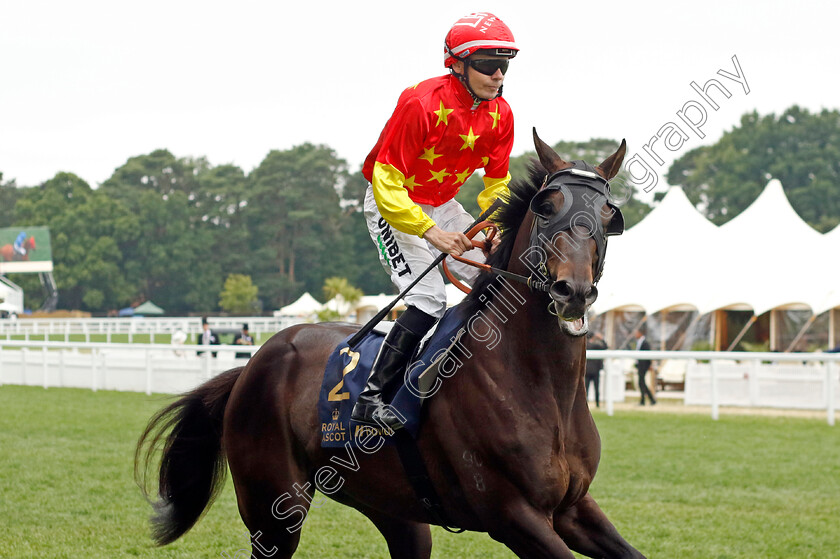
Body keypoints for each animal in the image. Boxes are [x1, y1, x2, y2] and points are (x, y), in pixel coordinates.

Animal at [138, 132, 648, 559]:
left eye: (608, 215)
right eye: (547, 206)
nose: (572, 291)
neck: (538, 383)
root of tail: (253, 363)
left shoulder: (573, 508)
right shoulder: (513, 516)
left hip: (393, 510)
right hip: (273, 511)